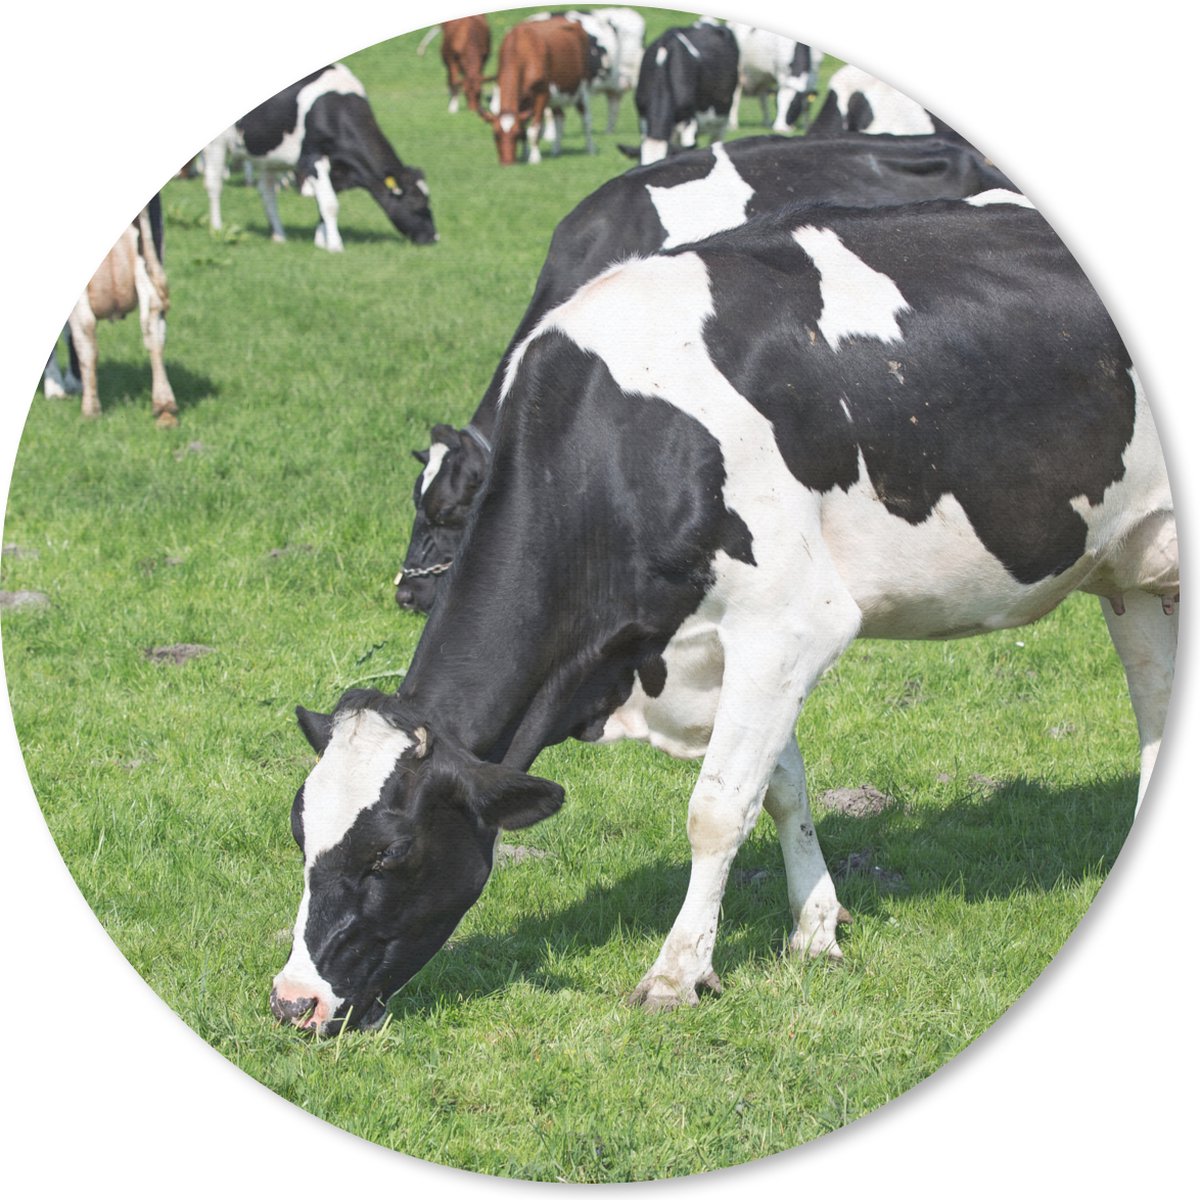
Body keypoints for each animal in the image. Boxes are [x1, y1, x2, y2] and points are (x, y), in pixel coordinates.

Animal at [203, 63, 437, 250]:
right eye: (417, 204)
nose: (434, 238)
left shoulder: (337, 168)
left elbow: (324, 204)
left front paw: (320, 240)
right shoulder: (313, 158)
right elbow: (330, 204)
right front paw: (335, 246)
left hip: (269, 156)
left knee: (267, 193)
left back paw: (279, 235)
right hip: (216, 145)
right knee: (214, 185)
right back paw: (217, 228)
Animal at [273, 195, 1176, 1034]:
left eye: (389, 852)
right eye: (299, 832)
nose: (292, 1002)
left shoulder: (790, 621)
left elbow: (715, 810)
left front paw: (676, 974)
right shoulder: (723, 649)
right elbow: (780, 788)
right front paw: (814, 930)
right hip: (1133, 576)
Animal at [480, 16, 594, 165]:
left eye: (515, 134)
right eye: (495, 135)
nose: (507, 163)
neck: (520, 49)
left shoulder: (542, 94)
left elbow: (533, 129)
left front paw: (534, 158)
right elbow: (525, 126)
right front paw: (524, 154)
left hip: (583, 88)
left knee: (586, 119)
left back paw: (590, 149)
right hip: (556, 97)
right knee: (560, 117)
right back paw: (556, 151)